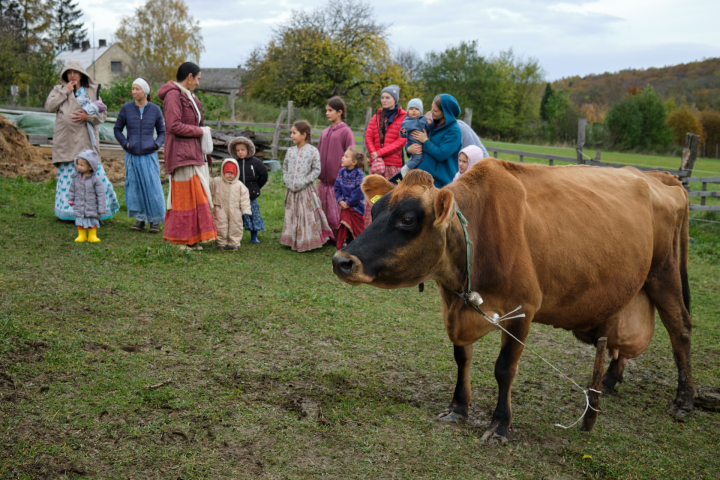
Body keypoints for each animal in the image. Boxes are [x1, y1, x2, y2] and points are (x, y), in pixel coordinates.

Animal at [332, 159, 693, 444]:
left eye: (408, 219)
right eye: (374, 210)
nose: (341, 260)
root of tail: (658, 175)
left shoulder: (523, 310)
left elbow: (504, 369)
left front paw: (500, 425)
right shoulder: (453, 304)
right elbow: (461, 358)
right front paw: (458, 407)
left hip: (664, 272)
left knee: (680, 329)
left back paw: (683, 400)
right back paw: (608, 381)